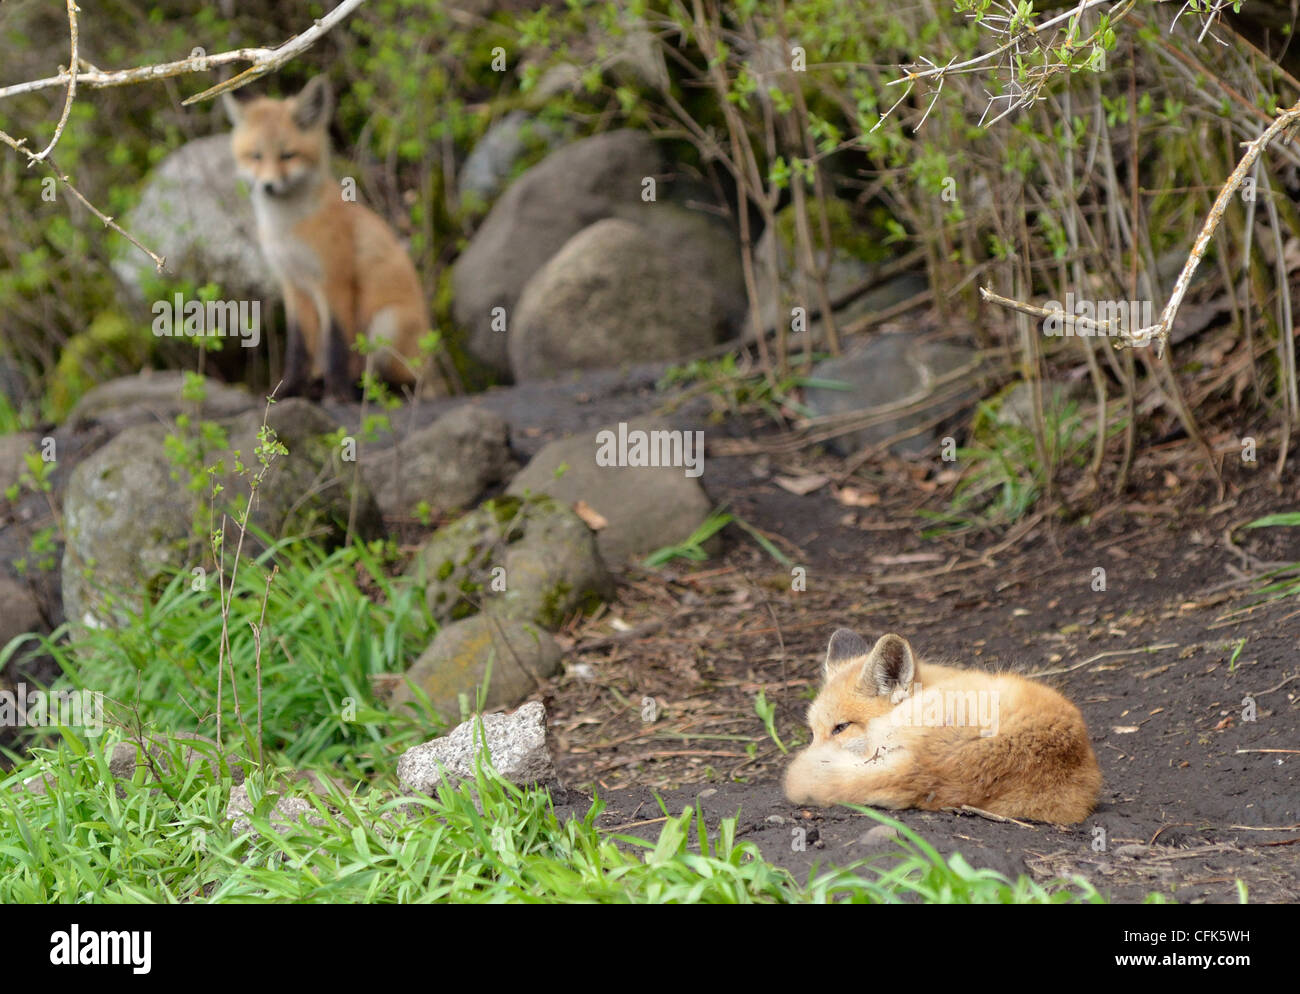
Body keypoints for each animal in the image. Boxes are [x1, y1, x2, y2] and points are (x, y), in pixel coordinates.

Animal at [223, 76, 429, 401]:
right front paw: (290, 389)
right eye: (256, 156)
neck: (288, 231)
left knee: (403, 384)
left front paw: (337, 394)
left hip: (385, 326)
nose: (268, 186)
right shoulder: (294, 285)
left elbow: (337, 344)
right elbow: (299, 349)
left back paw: (364, 391)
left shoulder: (334, 281)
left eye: (288, 155)